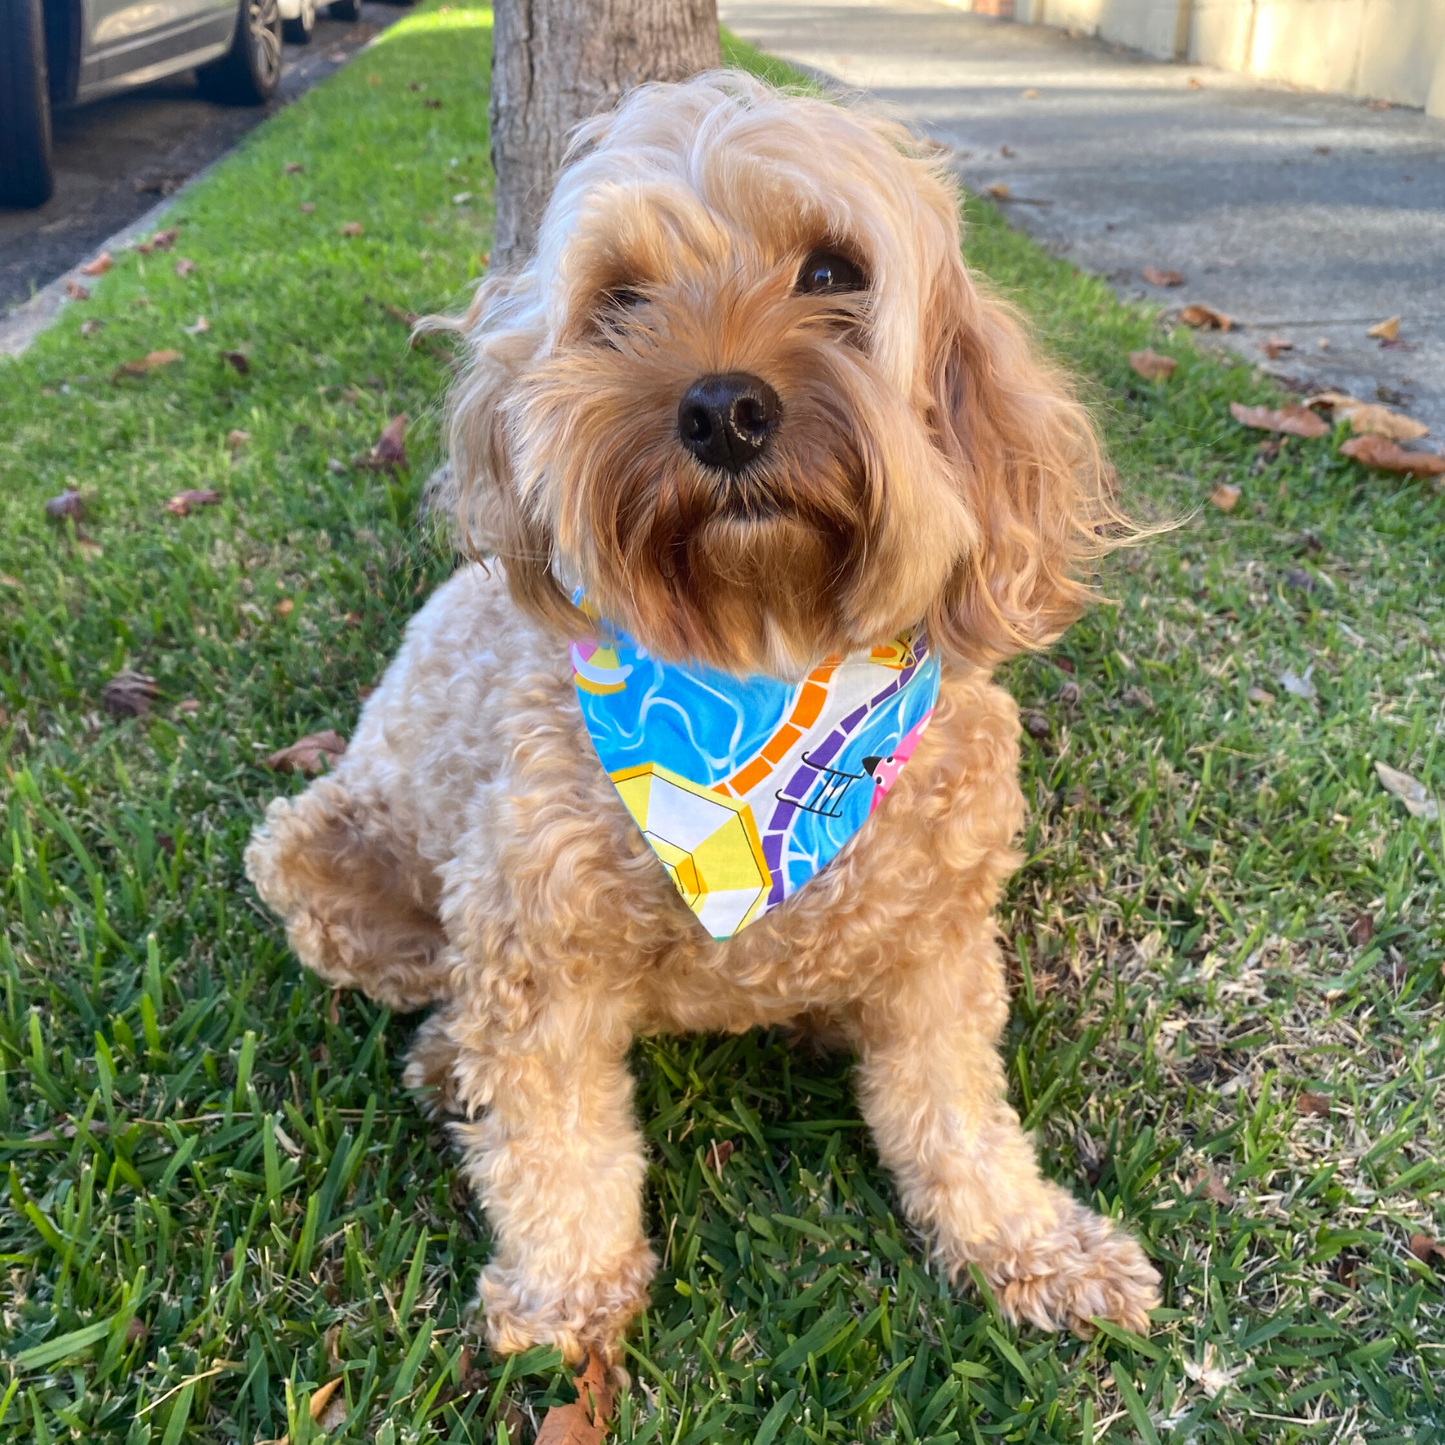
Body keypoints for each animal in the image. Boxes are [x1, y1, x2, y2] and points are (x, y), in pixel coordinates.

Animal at [242, 70, 1156, 1364]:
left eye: (832, 271)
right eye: (621, 299)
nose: (724, 410)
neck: (755, 671)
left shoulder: (937, 938)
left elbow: (954, 1112)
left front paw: (1025, 1243)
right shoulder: (537, 944)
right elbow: (555, 1137)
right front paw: (567, 1291)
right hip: (318, 854)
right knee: (434, 985)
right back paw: (448, 1057)